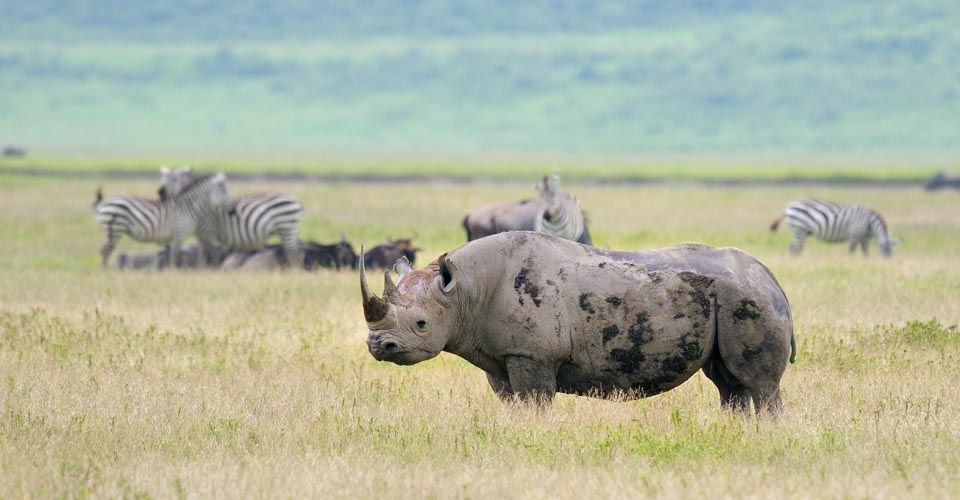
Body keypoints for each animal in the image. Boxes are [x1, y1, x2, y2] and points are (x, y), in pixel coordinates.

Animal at [92, 173, 231, 268]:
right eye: (224, 191)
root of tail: (103, 203)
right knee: (105, 251)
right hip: (116, 229)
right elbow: (174, 258)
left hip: (113, 230)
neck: (189, 208)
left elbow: (170, 258)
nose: (232, 211)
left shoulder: (173, 238)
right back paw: (106, 272)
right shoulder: (178, 235)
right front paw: (173, 273)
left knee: (104, 250)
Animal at [166, 167, 304, 268]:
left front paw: (209, 270)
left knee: (293, 253)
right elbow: (203, 256)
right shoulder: (202, 235)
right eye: (164, 178)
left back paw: (293, 271)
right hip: (288, 228)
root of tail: (295, 200)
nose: (161, 192)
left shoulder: (207, 232)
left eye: (174, 179)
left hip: (286, 227)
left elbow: (209, 256)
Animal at [768, 197, 896, 256]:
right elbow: (851, 250)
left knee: (793, 248)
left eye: (892, 251)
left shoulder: (864, 238)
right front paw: (851, 261)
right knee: (795, 249)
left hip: (800, 230)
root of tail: (789, 206)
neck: (869, 222)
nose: (887, 262)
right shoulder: (855, 233)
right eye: (884, 249)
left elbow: (866, 253)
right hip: (800, 229)